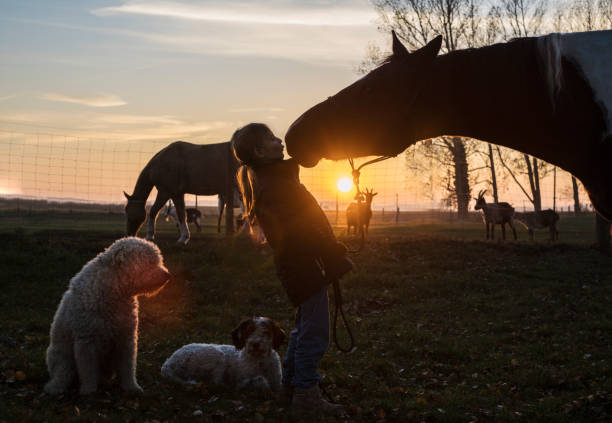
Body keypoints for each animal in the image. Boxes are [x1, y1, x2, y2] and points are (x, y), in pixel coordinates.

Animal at [44, 237, 171, 396]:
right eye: (149, 262)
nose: (167, 275)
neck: (112, 290)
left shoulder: (126, 339)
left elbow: (127, 367)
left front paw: (131, 387)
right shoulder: (87, 342)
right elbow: (88, 371)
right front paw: (88, 391)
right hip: (62, 356)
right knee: (62, 374)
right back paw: (55, 387)